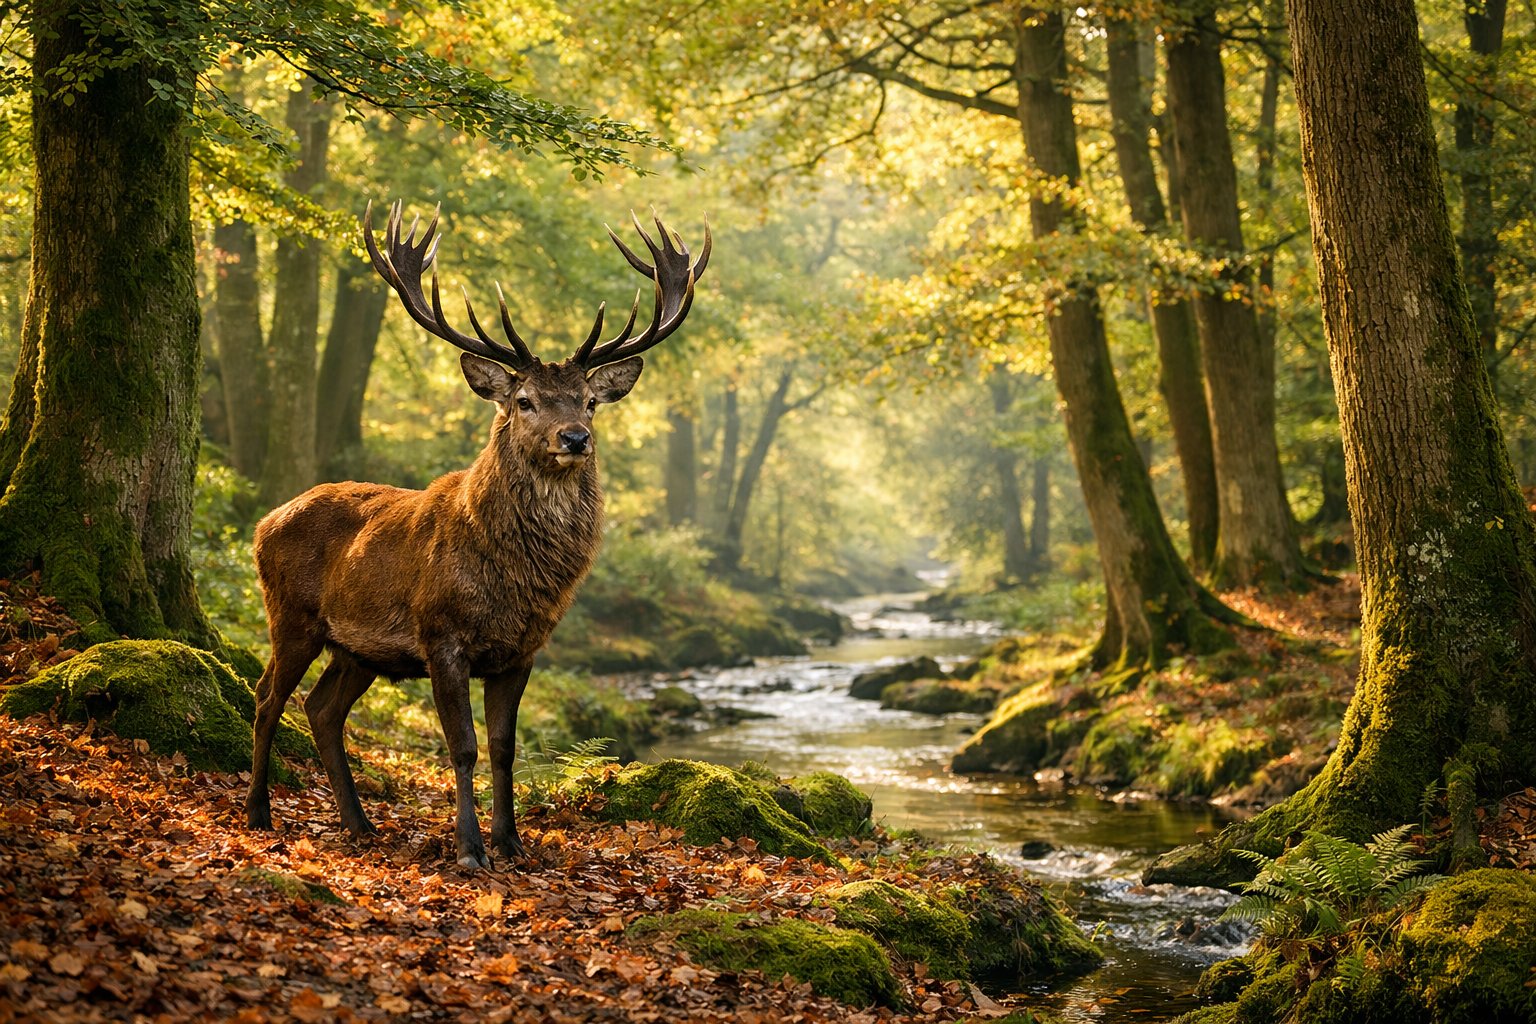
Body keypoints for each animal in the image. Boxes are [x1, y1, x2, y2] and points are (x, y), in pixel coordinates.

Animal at [244, 200, 710, 869]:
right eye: (525, 399)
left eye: (590, 401)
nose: (575, 438)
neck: (513, 578)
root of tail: (265, 521)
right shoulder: (441, 633)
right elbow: (461, 745)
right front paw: (468, 848)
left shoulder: (522, 650)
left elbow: (502, 747)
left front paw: (510, 841)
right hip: (292, 614)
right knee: (266, 698)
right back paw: (258, 811)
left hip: (357, 648)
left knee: (322, 708)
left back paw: (360, 824)